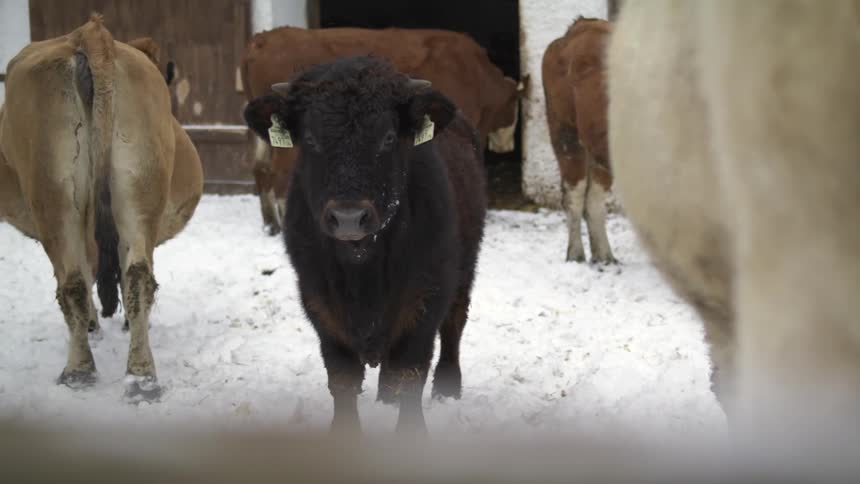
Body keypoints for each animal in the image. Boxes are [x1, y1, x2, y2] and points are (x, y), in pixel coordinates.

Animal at [0, 16, 203, 401]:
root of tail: (90, 33)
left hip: (54, 194)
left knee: (74, 281)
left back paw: (79, 370)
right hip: (136, 186)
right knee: (136, 276)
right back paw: (141, 378)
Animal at [240, 26, 517, 235]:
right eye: (514, 106)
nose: (508, 146)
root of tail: (262, 39)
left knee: (259, 168)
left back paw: (270, 223)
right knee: (277, 175)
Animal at [244, 56, 487, 434]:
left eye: (387, 137)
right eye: (310, 138)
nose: (348, 217)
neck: (363, 268)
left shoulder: (425, 299)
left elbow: (410, 373)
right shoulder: (319, 302)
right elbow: (342, 378)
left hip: (465, 269)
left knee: (455, 322)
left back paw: (448, 386)